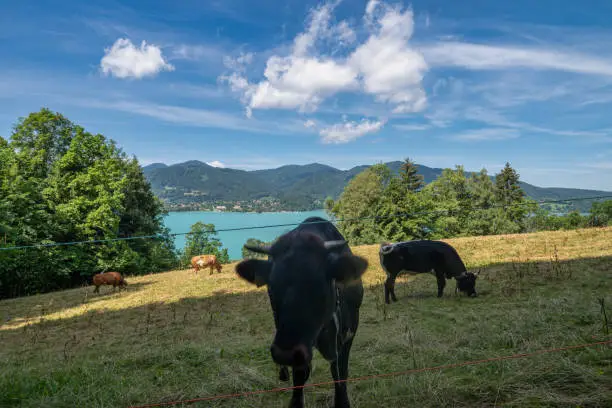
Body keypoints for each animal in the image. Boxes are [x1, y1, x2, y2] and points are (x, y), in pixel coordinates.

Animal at [237, 215, 366, 406]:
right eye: (271, 287)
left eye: (319, 285)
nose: (285, 354)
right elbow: (300, 378)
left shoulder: (349, 333)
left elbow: (340, 373)